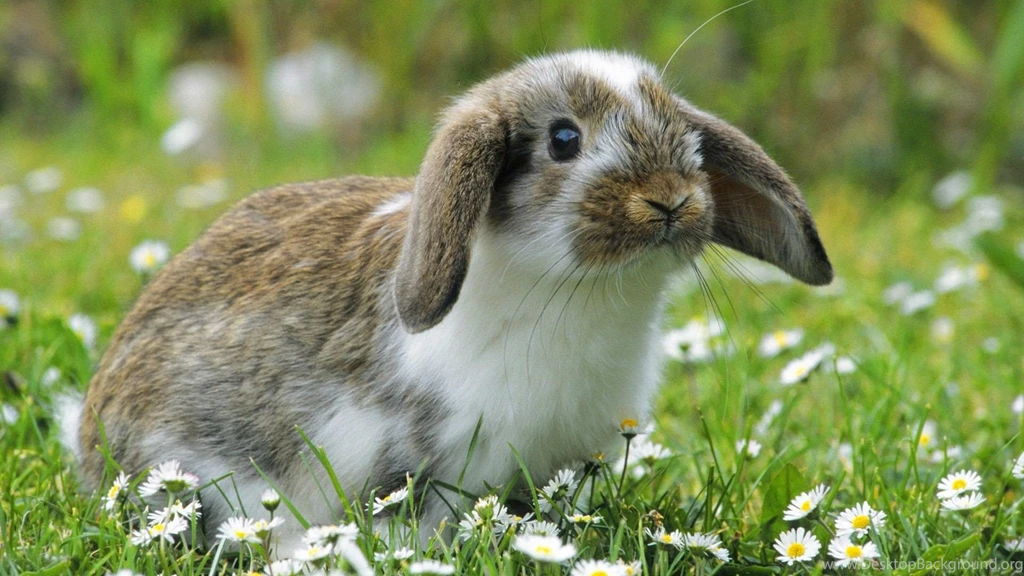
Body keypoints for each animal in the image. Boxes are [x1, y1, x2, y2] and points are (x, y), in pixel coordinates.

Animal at [62, 50, 831, 551]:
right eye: (564, 139)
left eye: (686, 135)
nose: (671, 200)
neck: (576, 293)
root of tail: (89, 430)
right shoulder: (411, 463)